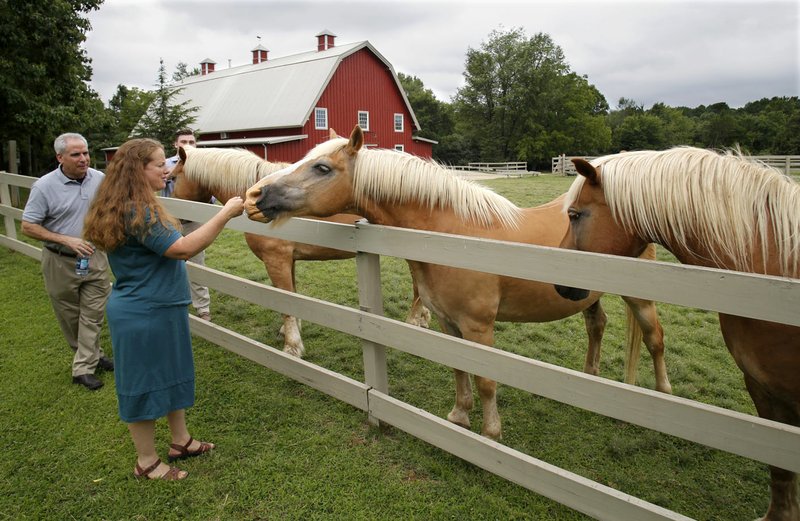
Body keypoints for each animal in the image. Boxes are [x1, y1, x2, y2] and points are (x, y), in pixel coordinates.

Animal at [170, 145, 432, 358]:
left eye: (172, 177)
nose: (177, 220)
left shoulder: (276, 260)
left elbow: (286, 299)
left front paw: (292, 346)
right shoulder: (289, 260)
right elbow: (293, 296)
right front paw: (290, 330)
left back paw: (415, 322)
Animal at [242, 125, 668, 438]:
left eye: (322, 168)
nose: (256, 195)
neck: (455, 235)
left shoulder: (479, 327)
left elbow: (485, 380)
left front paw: (491, 434)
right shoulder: (449, 323)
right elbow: (460, 372)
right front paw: (459, 418)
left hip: (639, 300)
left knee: (654, 339)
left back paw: (663, 397)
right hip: (587, 296)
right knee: (597, 325)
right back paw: (590, 377)